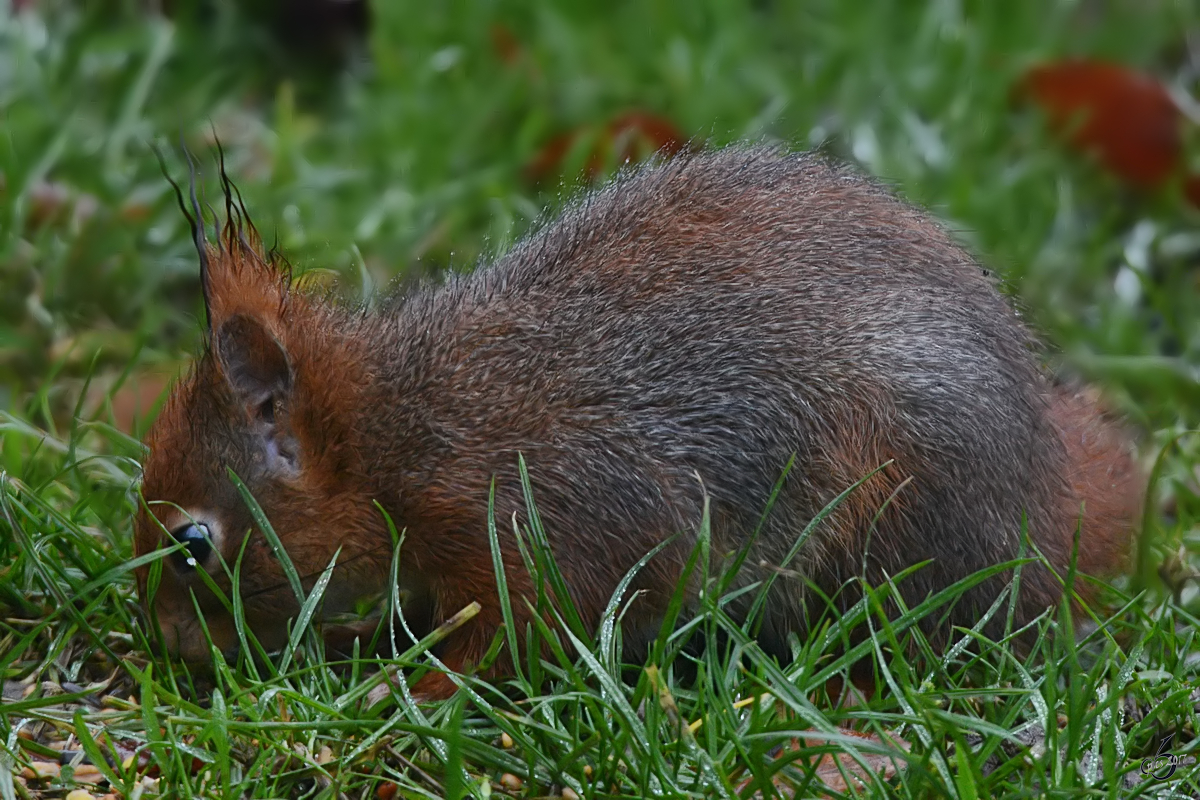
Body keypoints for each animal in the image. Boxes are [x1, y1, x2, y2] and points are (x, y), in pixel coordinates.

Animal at [133, 146, 1142, 695]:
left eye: (192, 545)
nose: (167, 643)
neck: (398, 437)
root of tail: (1049, 505)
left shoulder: (536, 520)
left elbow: (525, 631)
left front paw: (406, 687)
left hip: (902, 514)